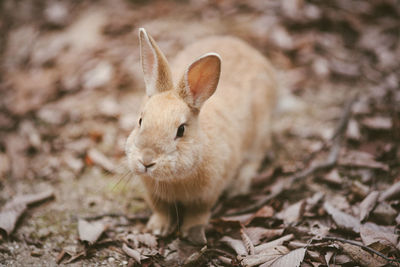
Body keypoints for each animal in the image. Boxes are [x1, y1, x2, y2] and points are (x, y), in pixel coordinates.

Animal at [126, 28, 276, 242]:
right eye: (140, 121)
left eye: (181, 130)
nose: (146, 160)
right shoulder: (154, 195)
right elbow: (161, 209)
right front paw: (157, 228)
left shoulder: (208, 194)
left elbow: (198, 212)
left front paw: (191, 232)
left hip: (260, 131)